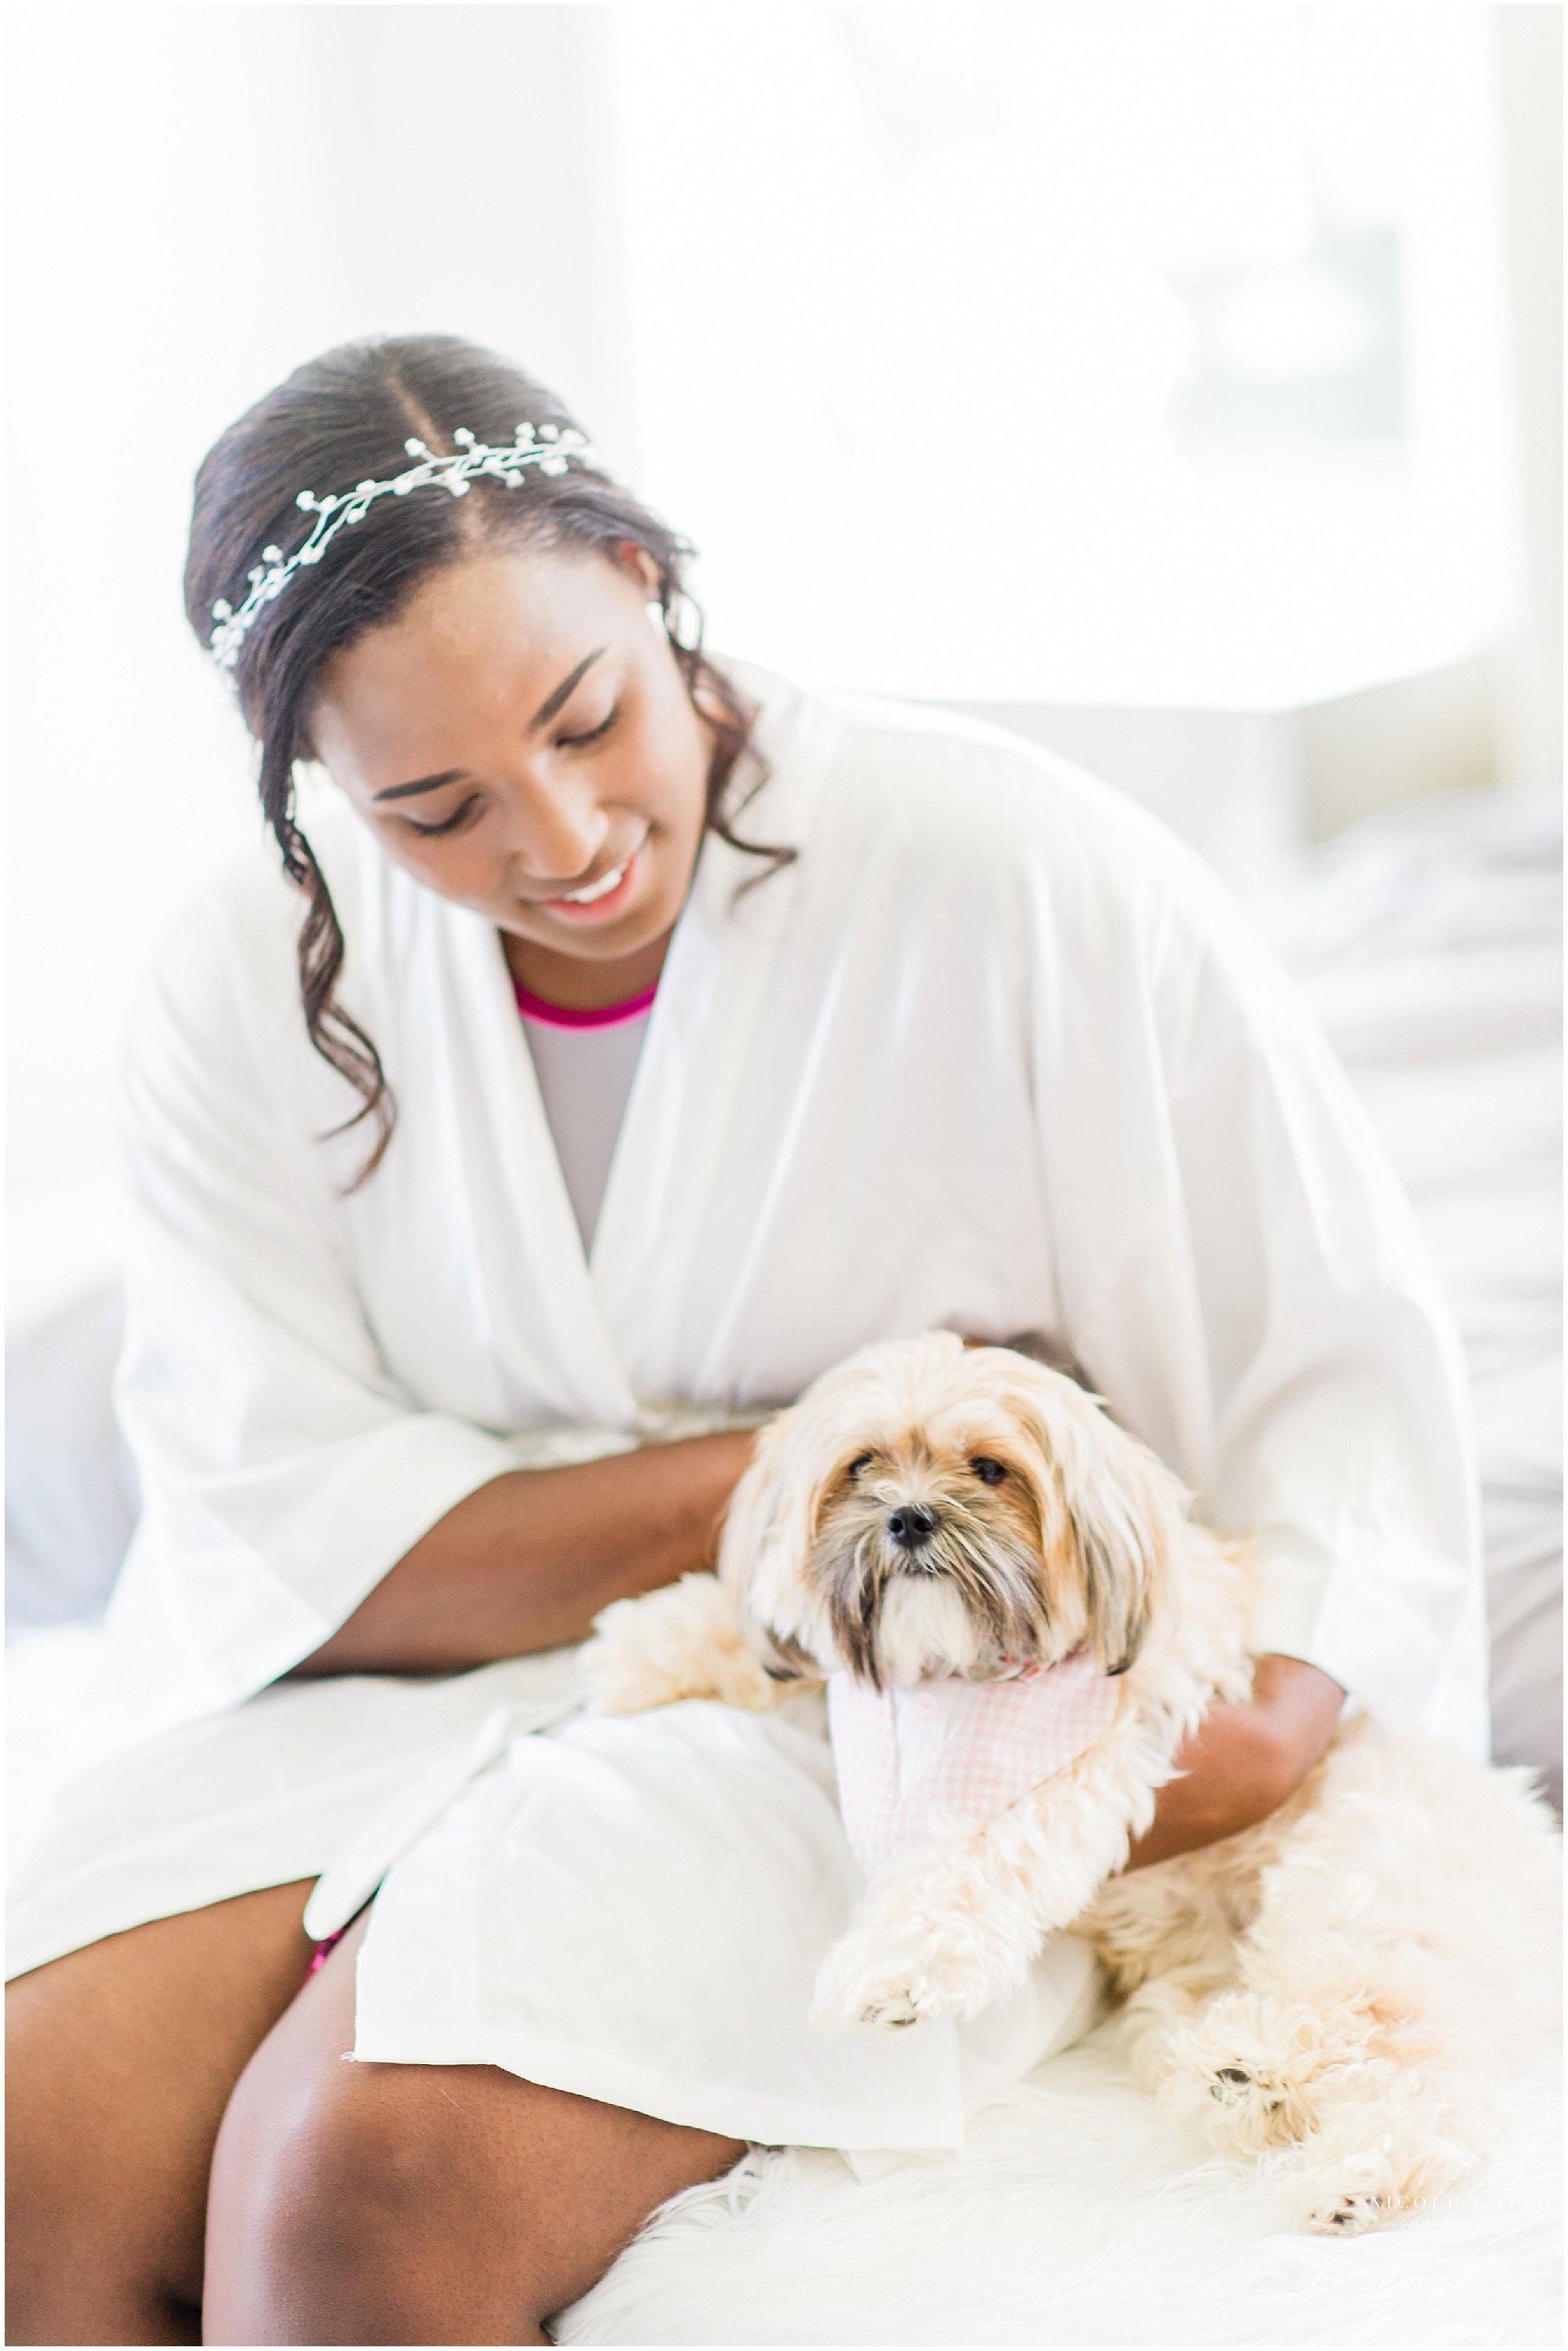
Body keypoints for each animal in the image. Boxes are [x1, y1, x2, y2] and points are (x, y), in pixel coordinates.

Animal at [583, 1335, 1561, 2229]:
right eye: (860, 1465)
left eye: (990, 1468)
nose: (908, 1518)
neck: (952, 1676)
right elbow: (760, 1637)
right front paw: (638, 1652)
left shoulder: (1110, 1743)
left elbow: (974, 1852)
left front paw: (893, 1966)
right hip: (1190, 1986)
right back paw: (1246, 2072)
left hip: (1354, 1897)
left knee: (1411, 2059)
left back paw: (1362, 2168)